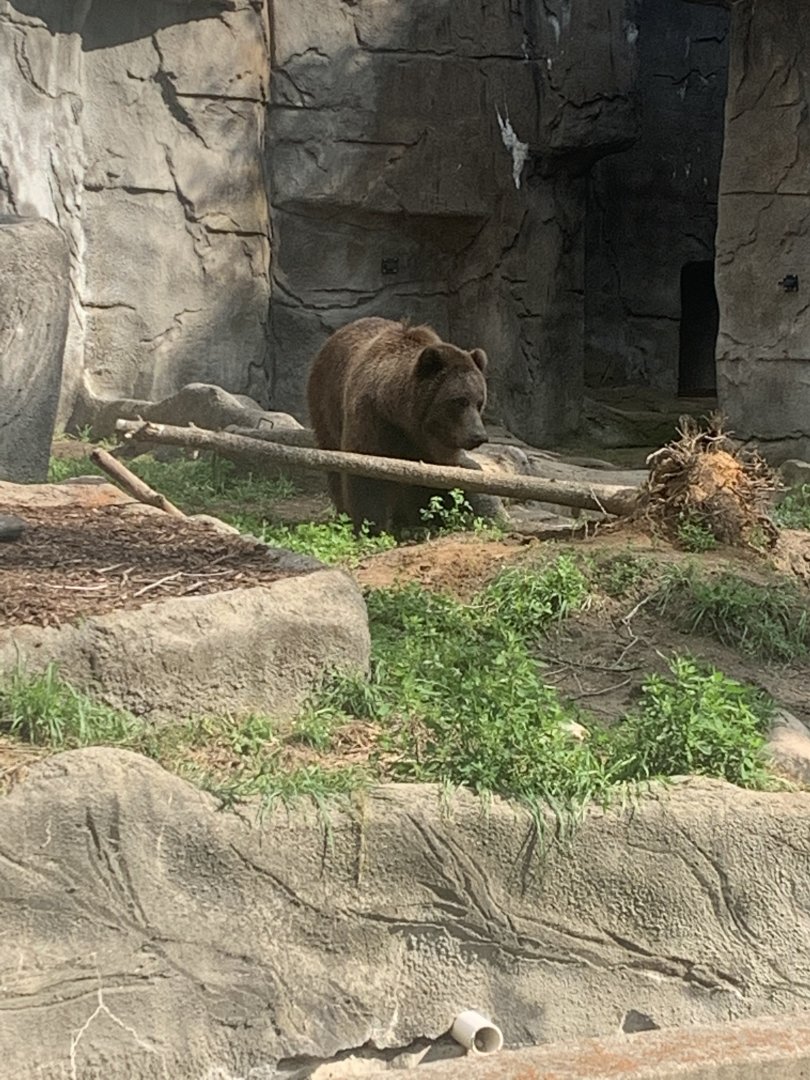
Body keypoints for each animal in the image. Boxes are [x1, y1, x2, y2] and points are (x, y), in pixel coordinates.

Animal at [306, 317, 491, 534]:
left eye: (479, 402)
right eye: (460, 401)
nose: (479, 436)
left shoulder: (431, 447)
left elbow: (430, 480)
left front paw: (427, 521)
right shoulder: (373, 419)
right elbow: (368, 476)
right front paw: (371, 527)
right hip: (326, 403)